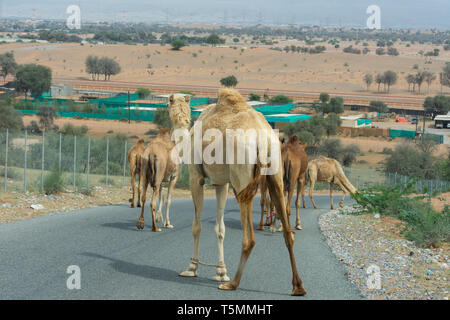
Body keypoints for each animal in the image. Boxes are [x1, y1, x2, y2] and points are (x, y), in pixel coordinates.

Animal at [169, 89, 306, 296]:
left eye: (169, 102)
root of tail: (263, 139)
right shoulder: (221, 182)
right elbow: (220, 228)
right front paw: (220, 272)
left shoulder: (196, 176)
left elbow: (197, 226)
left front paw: (192, 268)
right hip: (275, 175)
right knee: (288, 233)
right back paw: (298, 286)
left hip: (242, 175)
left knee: (249, 239)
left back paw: (232, 283)